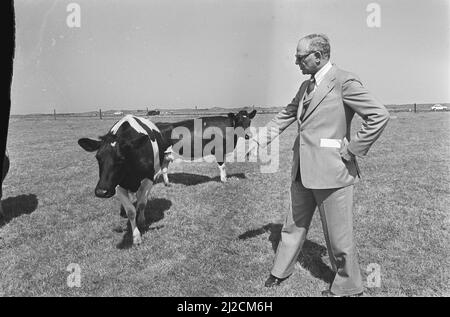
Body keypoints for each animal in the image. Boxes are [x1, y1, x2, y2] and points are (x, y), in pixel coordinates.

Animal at [77, 114, 171, 244]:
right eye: (98, 157)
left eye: (121, 158)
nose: (101, 192)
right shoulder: (116, 185)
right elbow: (130, 211)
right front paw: (136, 236)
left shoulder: (148, 179)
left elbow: (142, 203)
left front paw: (141, 221)